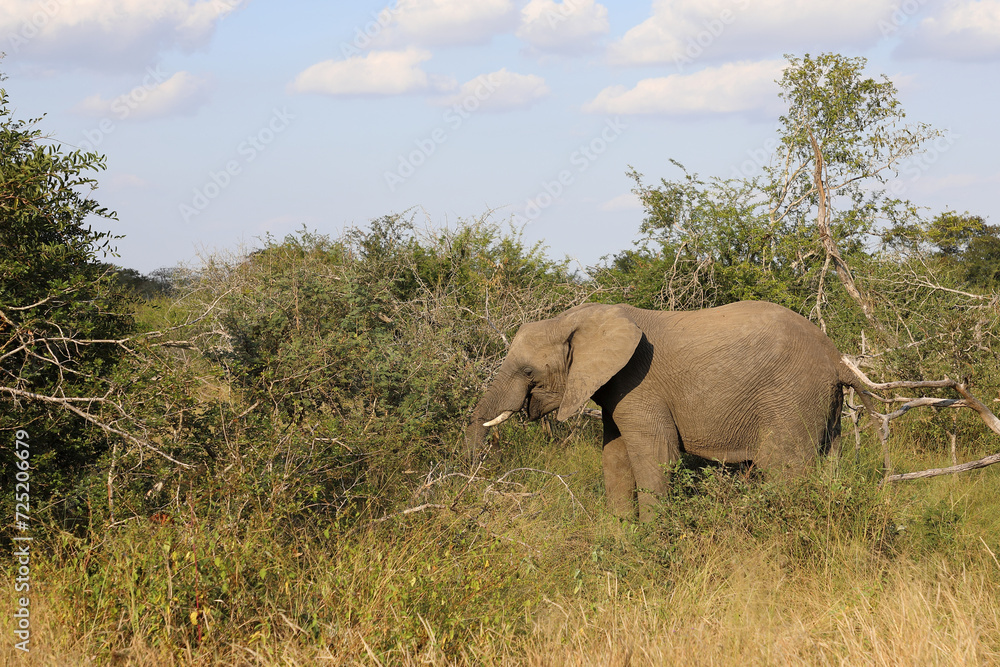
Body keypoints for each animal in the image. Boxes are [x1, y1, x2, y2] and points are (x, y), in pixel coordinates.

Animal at [464, 300, 873, 520]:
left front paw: (650, 537)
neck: (578, 317)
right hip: (822, 401)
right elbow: (614, 457)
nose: (475, 487)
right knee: (828, 462)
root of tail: (836, 356)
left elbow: (656, 457)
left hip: (791, 396)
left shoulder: (640, 383)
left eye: (528, 372)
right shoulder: (617, 388)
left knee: (785, 469)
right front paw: (621, 534)